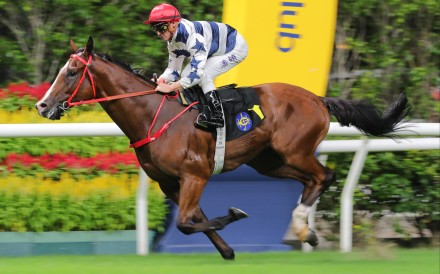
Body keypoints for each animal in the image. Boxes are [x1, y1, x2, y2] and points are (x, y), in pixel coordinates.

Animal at [34, 37, 410, 260]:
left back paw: (304, 228)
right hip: (268, 162)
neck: (153, 117)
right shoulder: (170, 183)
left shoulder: (195, 175)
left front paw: (235, 215)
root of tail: (318, 98)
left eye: (71, 72)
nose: (42, 106)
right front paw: (228, 249)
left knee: (324, 175)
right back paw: (307, 231)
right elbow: (193, 220)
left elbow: (187, 223)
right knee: (311, 181)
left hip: (295, 150)